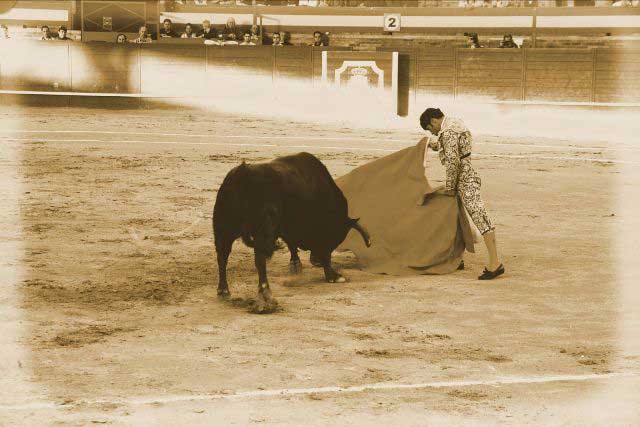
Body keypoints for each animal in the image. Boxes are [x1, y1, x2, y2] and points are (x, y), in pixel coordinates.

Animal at [212, 152, 370, 312]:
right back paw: (266, 297)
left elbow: (291, 243)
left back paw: (223, 291)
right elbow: (323, 255)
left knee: (222, 257)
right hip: (262, 230)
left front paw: (296, 265)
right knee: (259, 259)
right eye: (335, 237)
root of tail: (242, 174)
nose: (316, 261)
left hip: (222, 230)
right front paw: (334, 276)